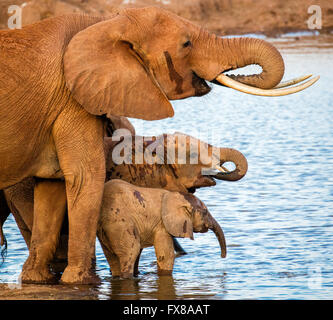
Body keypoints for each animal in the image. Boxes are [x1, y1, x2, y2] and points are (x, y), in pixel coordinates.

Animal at [96, 179, 226, 278]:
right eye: (205, 212)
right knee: (131, 252)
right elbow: (165, 255)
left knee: (112, 257)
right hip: (120, 223)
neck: (175, 196)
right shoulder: (162, 226)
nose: (222, 257)